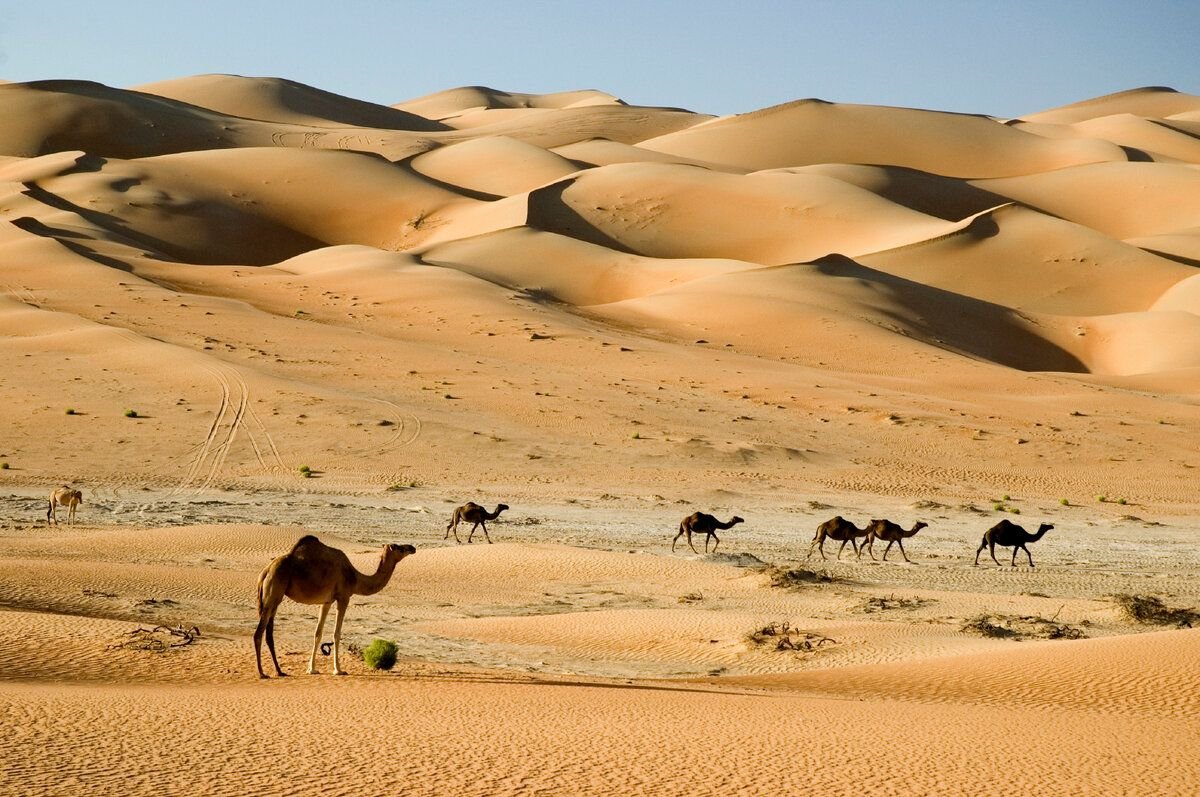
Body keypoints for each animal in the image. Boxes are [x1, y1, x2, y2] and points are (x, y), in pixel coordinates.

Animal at [253, 535, 417, 676]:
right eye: (399, 548)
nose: (412, 547)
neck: (355, 578)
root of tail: (265, 571)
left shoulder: (326, 601)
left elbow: (317, 633)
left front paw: (312, 669)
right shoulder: (343, 597)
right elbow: (336, 634)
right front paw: (338, 670)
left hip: (274, 598)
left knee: (269, 633)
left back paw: (279, 671)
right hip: (273, 593)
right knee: (259, 632)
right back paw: (262, 673)